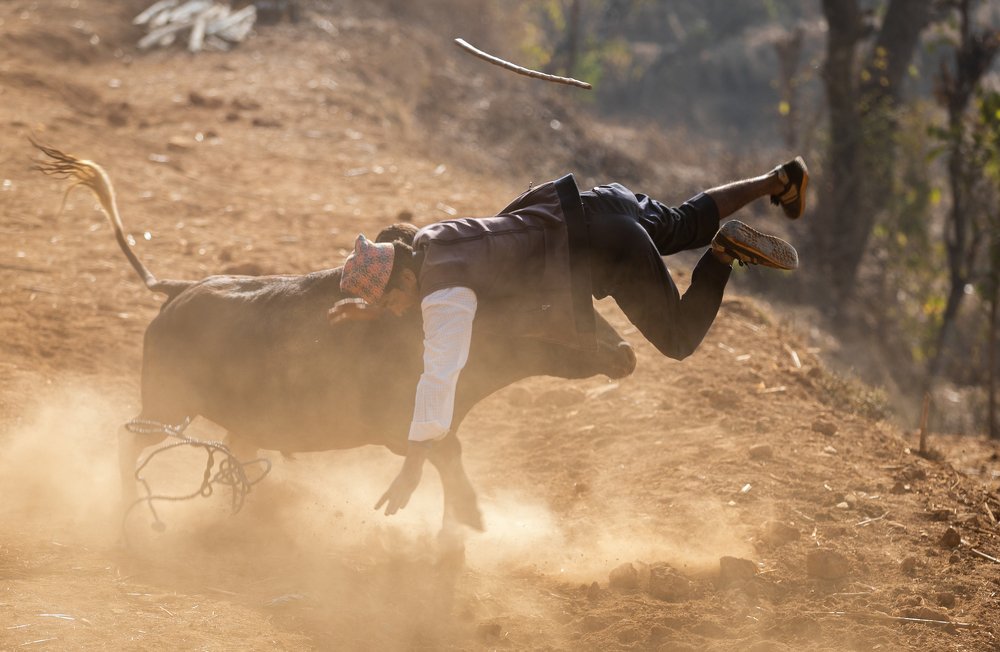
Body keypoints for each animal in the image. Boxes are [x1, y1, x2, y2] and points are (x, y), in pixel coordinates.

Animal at [33, 142, 637, 542]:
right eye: (562, 309)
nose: (627, 353)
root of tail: (176, 290)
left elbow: (446, 455)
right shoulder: (401, 424)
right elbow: (442, 455)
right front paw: (467, 516)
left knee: (230, 450)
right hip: (166, 403)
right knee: (129, 441)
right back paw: (127, 505)